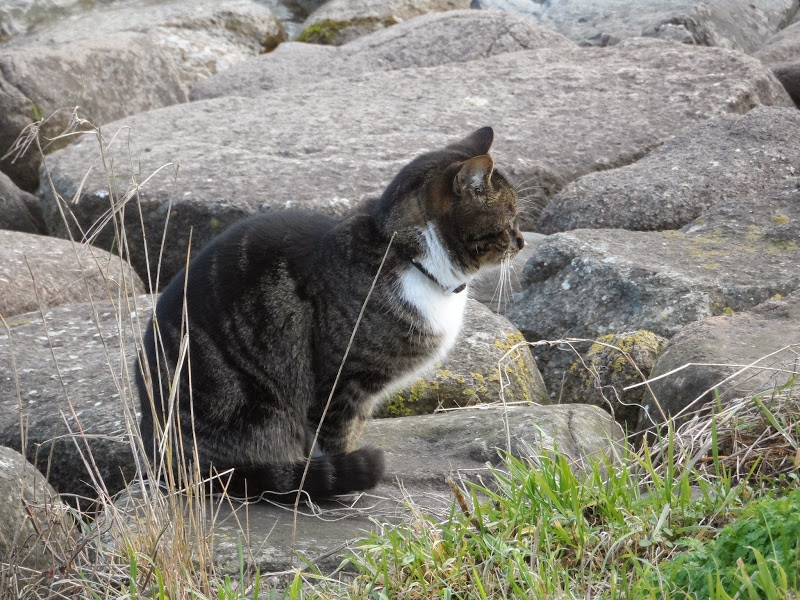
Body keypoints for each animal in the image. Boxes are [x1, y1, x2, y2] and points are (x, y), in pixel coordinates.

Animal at [136, 127, 524, 502]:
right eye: (510, 221)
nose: (521, 242)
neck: (401, 252)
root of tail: (158, 454)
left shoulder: (361, 396)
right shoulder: (342, 382)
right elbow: (336, 437)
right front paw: (347, 477)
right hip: (251, 408)